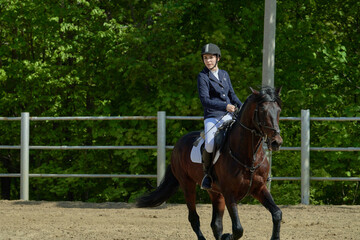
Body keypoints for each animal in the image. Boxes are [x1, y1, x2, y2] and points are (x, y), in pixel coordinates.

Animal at [136, 86, 282, 240]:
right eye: (262, 110)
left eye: (279, 110)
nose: (276, 142)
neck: (248, 155)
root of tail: (177, 145)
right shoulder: (229, 193)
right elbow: (238, 229)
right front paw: (227, 236)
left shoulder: (259, 188)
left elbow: (277, 213)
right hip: (187, 184)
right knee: (194, 218)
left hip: (215, 192)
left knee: (216, 223)